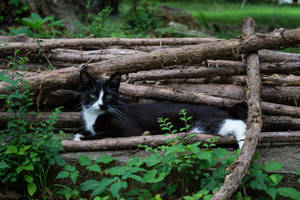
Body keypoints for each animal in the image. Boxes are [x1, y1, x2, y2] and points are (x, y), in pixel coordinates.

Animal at [74, 70, 247, 148]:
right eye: (92, 95)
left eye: (109, 96)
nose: (101, 104)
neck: (95, 115)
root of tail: (223, 110)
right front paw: (81, 133)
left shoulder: (130, 129)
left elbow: (105, 134)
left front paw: (81, 138)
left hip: (203, 123)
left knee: (238, 124)